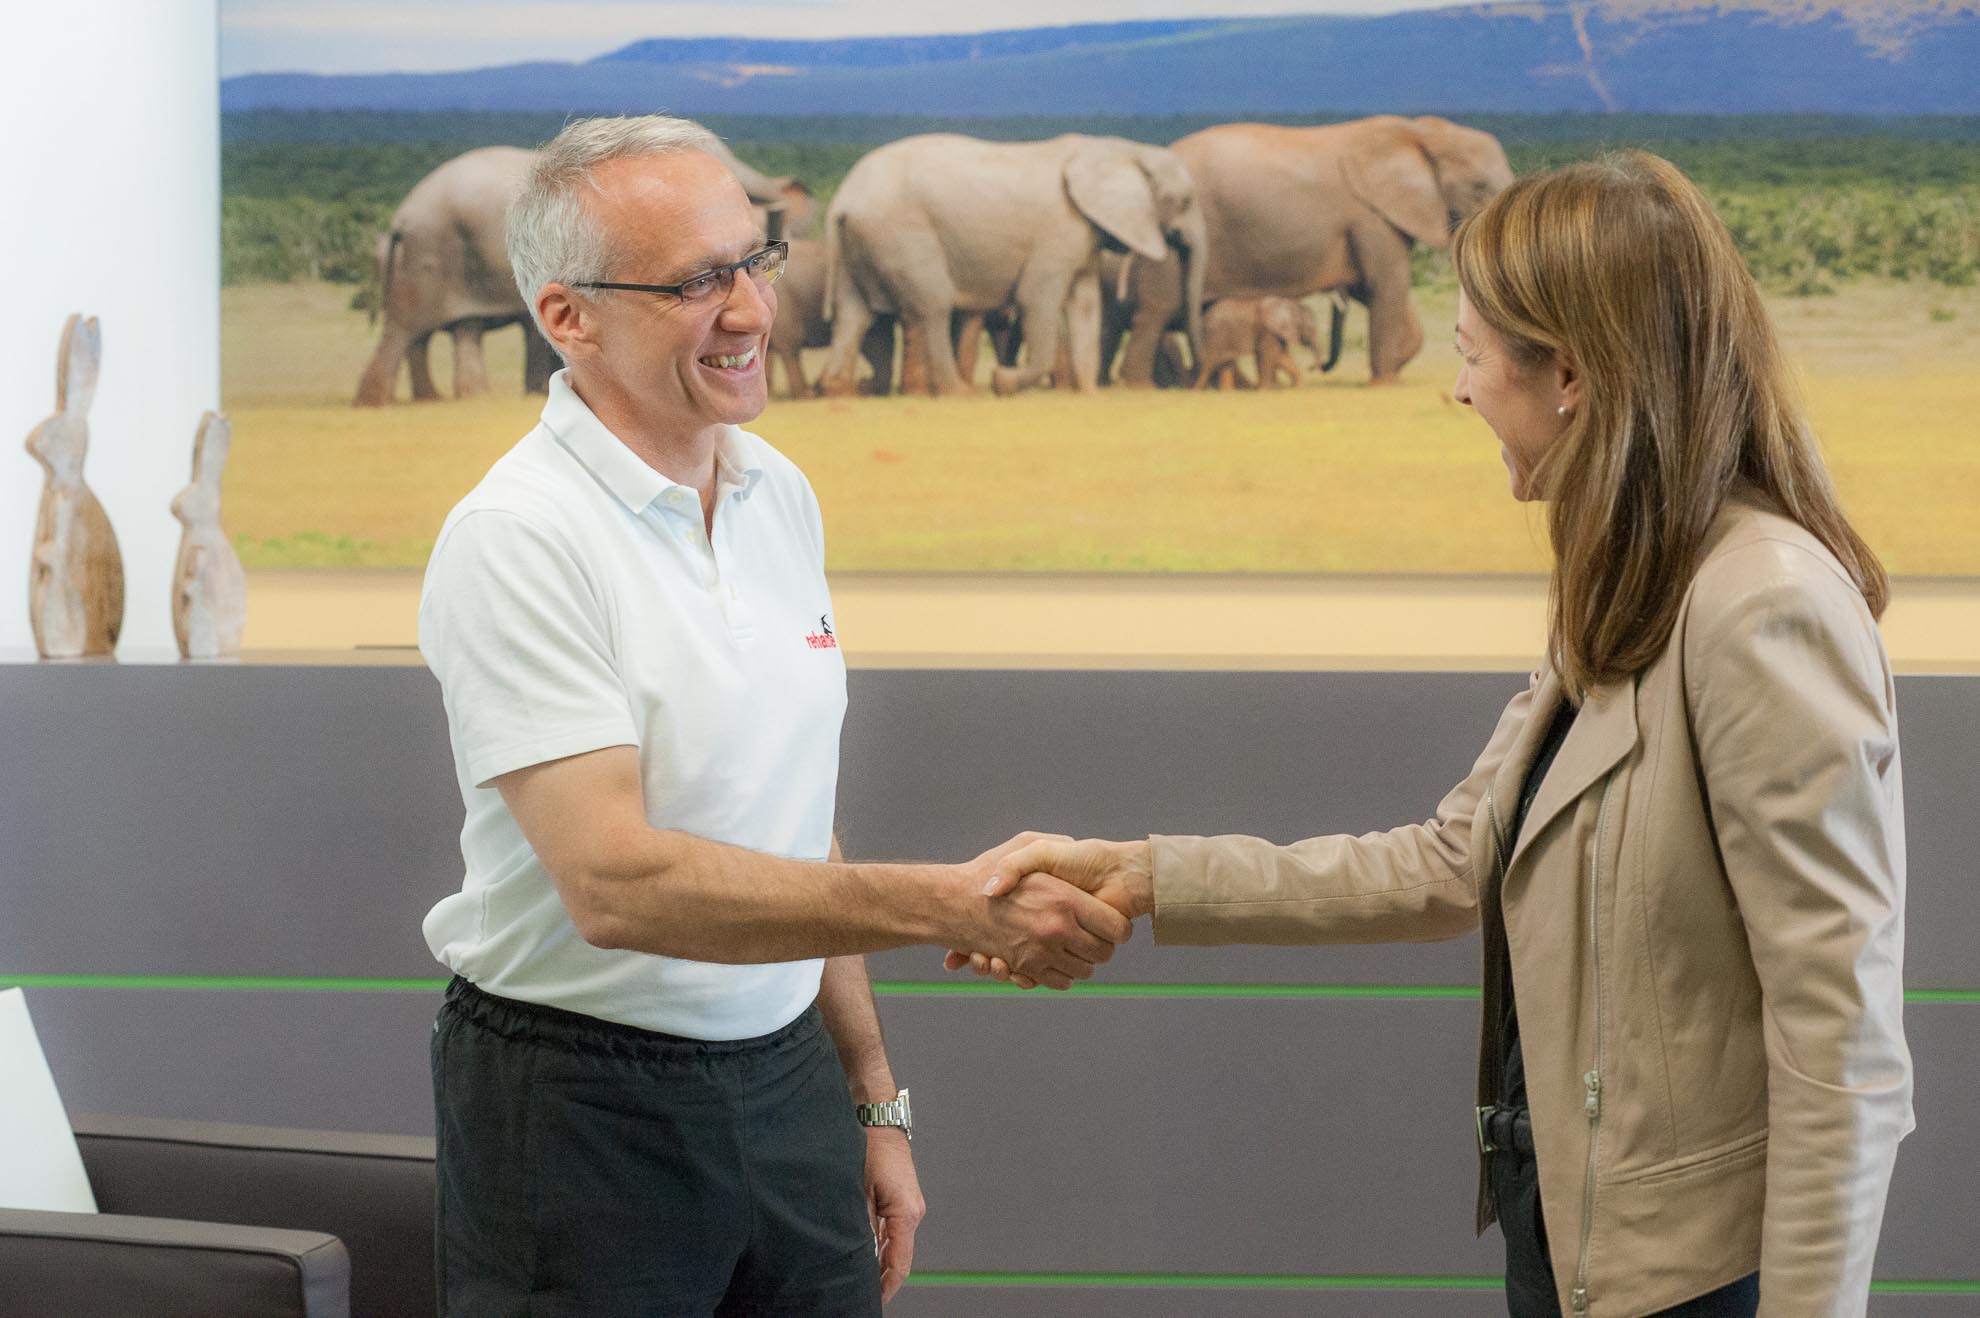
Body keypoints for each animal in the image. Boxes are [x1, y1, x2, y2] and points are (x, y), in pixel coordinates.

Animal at [811, 134, 1195, 403]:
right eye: (1185, 201)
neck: (1122, 149)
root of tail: (841, 199)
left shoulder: (1083, 235)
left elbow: (1085, 304)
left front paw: (1090, 395)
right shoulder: (1057, 232)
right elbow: (1036, 300)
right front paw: (1003, 383)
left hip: (860, 242)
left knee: (853, 312)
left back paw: (839, 392)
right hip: (900, 234)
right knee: (933, 305)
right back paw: (959, 394)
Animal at [1116, 114, 1512, 385]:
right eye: (1479, 186)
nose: (1319, 367)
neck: (1420, 133)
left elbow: (1378, 290)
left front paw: (1396, 372)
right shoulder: (1371, 216)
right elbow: (1386, 286)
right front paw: (1385, 383)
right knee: (1156, 312)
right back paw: (1139, 387)